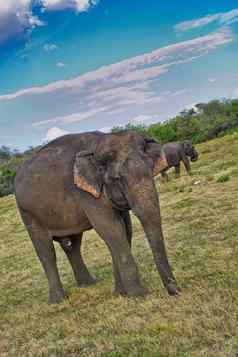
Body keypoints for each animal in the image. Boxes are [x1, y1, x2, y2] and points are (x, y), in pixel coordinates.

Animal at [14, 131, 180, 304]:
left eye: (151, 169)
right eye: (118, 179)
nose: (176, 292)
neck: (99, 143)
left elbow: (125, 229)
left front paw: (120, 294)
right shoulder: (85, 193)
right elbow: (110, 229)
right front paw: (139, 295)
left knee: (73, 245)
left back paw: (88, 283)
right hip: (27, 213)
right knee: (46, 251)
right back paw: (57, 300)